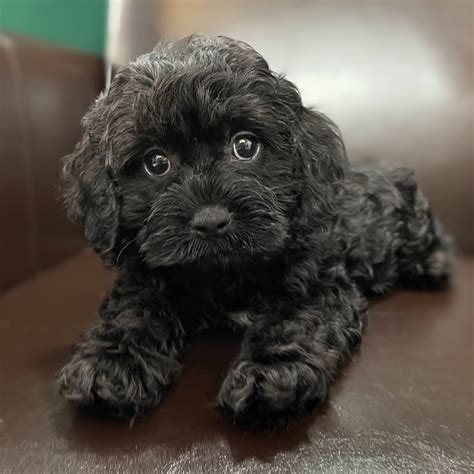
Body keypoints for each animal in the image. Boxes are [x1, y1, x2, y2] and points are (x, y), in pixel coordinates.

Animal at [56, 34, 452, 430]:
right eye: (155, 162)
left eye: (245, 146)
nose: (211, 220)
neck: (224, 274)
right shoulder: (143, 276)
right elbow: (132, 310)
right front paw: (111, 363)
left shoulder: (317, 281)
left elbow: (295, 320)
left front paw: (270, 376)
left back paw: (432, 265)